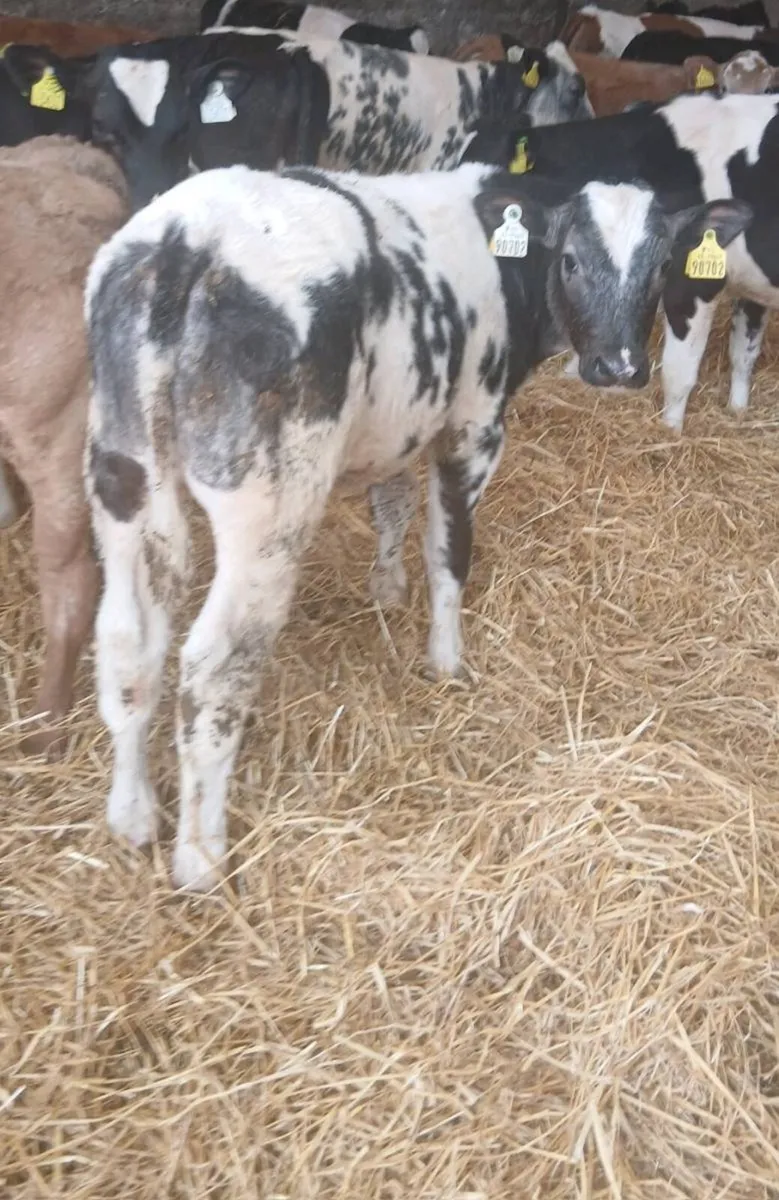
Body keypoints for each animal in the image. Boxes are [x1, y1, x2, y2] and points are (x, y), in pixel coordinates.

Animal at [84, 162, 748, 891]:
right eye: (571, 259)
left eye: (660, 266)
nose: (620, 367)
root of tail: (186, 240)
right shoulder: (473, 427)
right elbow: (448, 551)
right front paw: (447, 658)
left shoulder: (401, 421)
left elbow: (391, 501)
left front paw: (385, 586)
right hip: (266, 506)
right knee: (214, 667)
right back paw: (199, 857)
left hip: (122, 474)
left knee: (127, 640)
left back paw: (132, 814)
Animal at [462, 91, 779, 430]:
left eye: (493, 169)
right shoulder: (751, 286)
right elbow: (744, 352)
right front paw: (738, 411)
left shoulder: (693, 283)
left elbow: (678, 371)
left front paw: (670, 430)